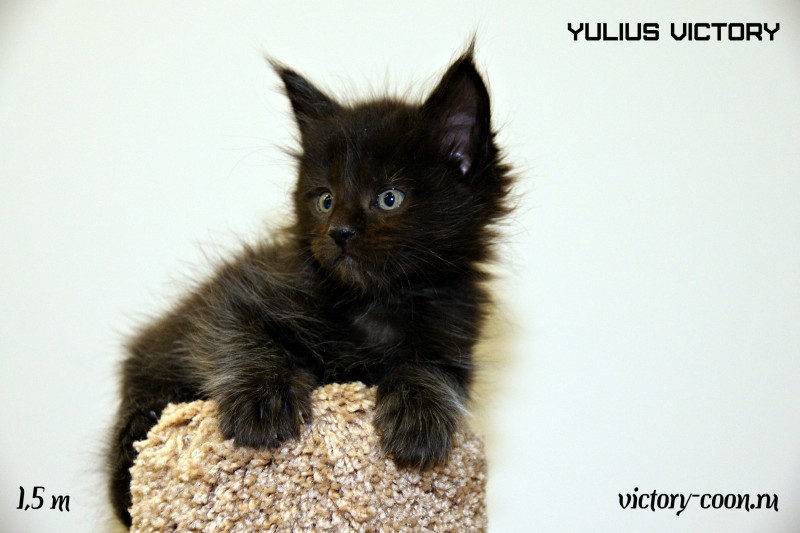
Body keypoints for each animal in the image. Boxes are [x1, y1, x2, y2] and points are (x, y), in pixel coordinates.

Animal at [108, 44, 513, 526]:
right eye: (325, 199)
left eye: (389, 198)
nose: (339, 232)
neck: (376, 301)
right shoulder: (236, 291)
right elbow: (236, 334)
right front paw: (263, 400)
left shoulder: (454, 342)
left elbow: (428, 371)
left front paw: (418, 417)